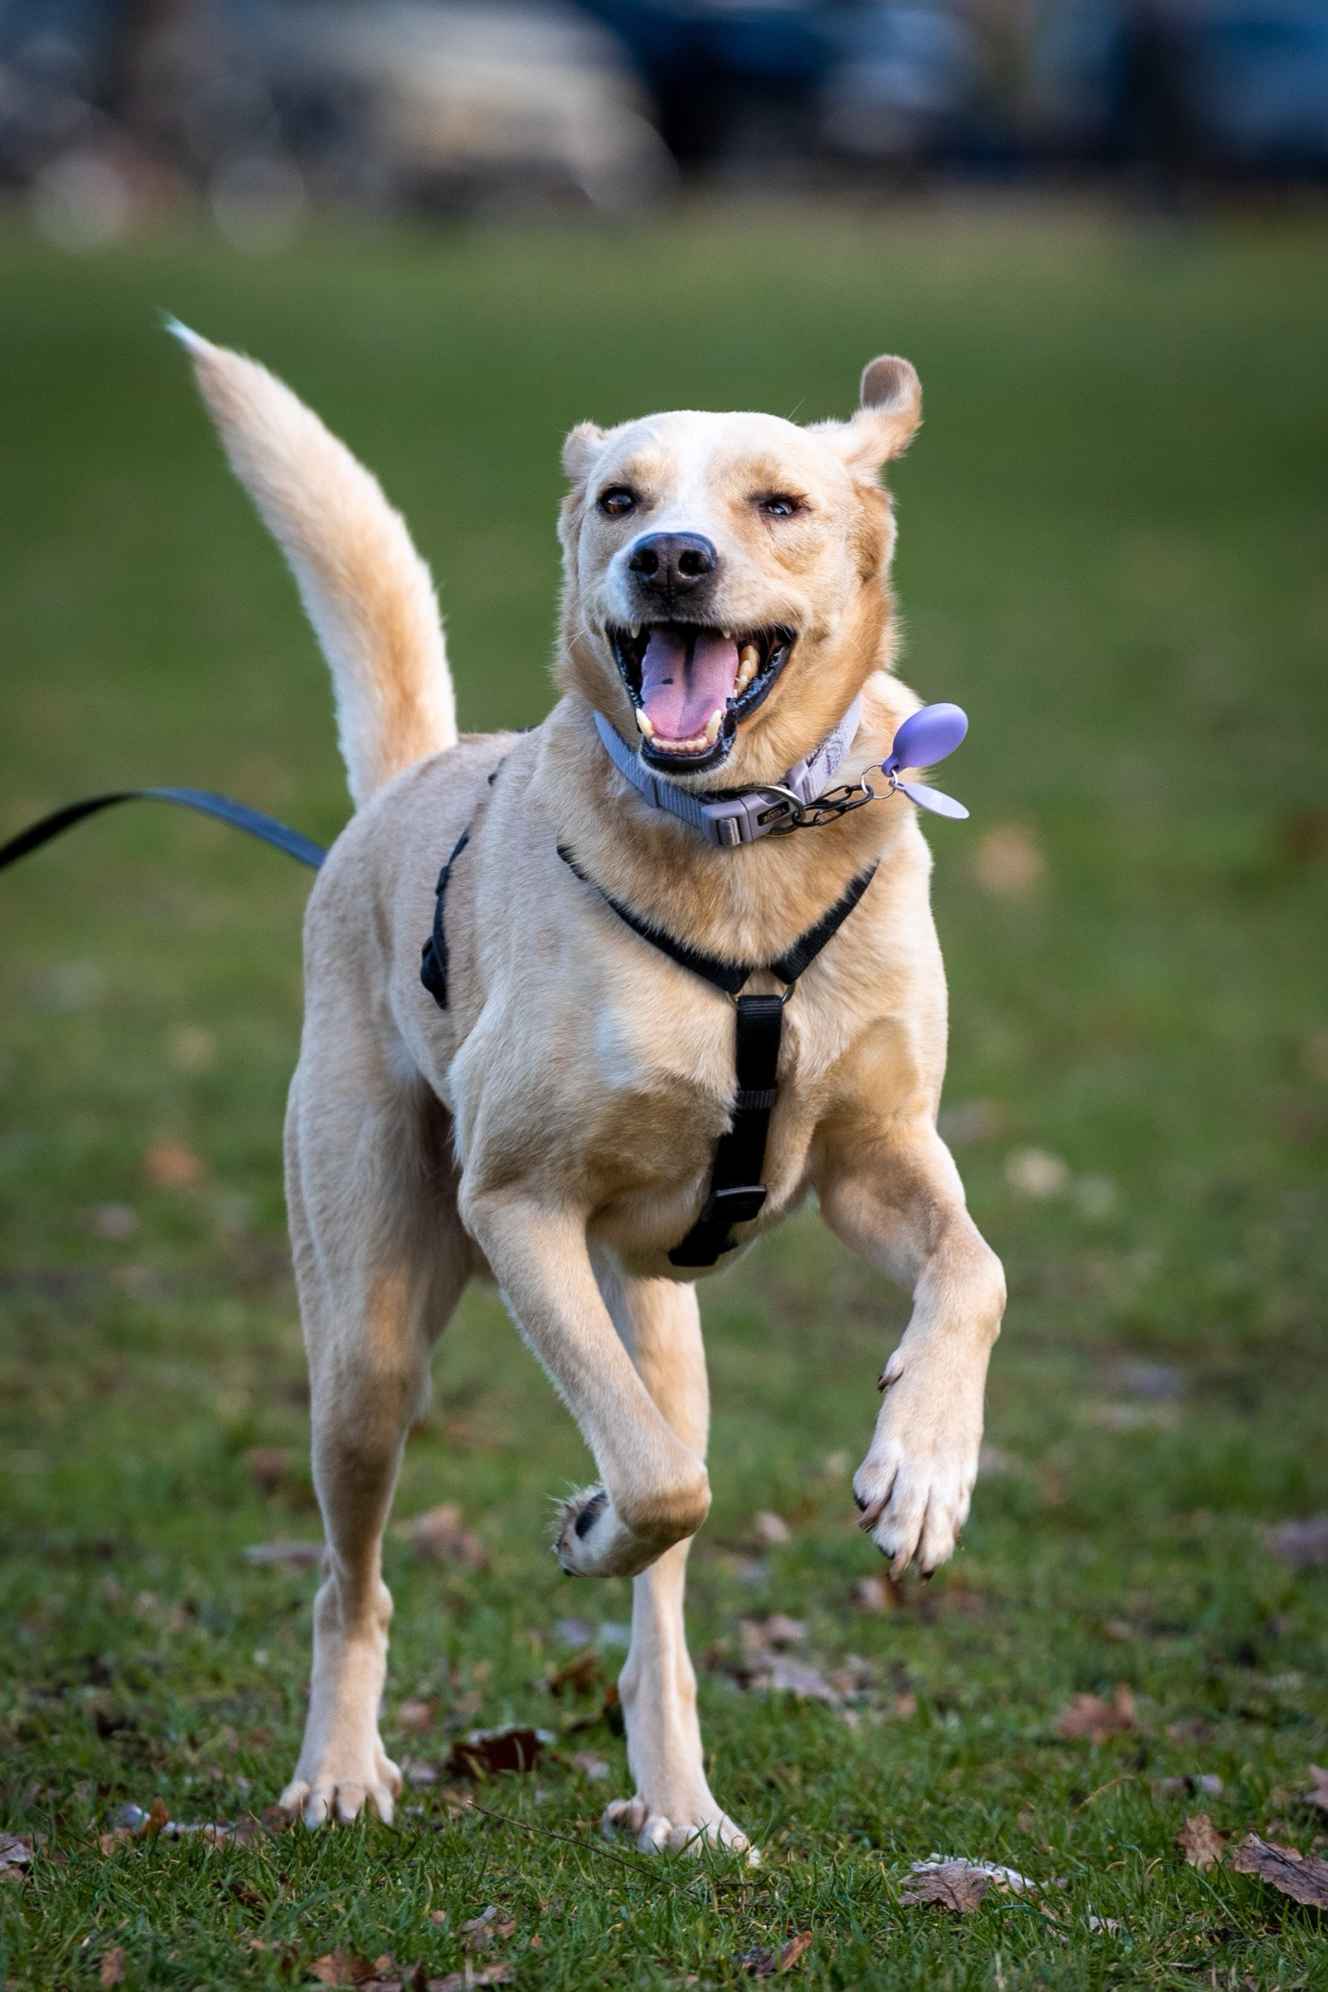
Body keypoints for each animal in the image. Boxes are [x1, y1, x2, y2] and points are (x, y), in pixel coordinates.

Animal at [176, 326, 1007, 1848]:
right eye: (620, 498)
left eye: (779, 503)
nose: (669, 558)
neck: (740, 850)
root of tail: (404, 789)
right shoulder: (519, 1207)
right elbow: (655, 1483)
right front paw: (586, 1525)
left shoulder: (878, 1153)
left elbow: (972, 1272)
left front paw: (922, 1474)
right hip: (367, 1347)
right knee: (352, 1577)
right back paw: (341, 1769)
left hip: (665, 1331)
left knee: (658, 1613)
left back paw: (677, 1802)